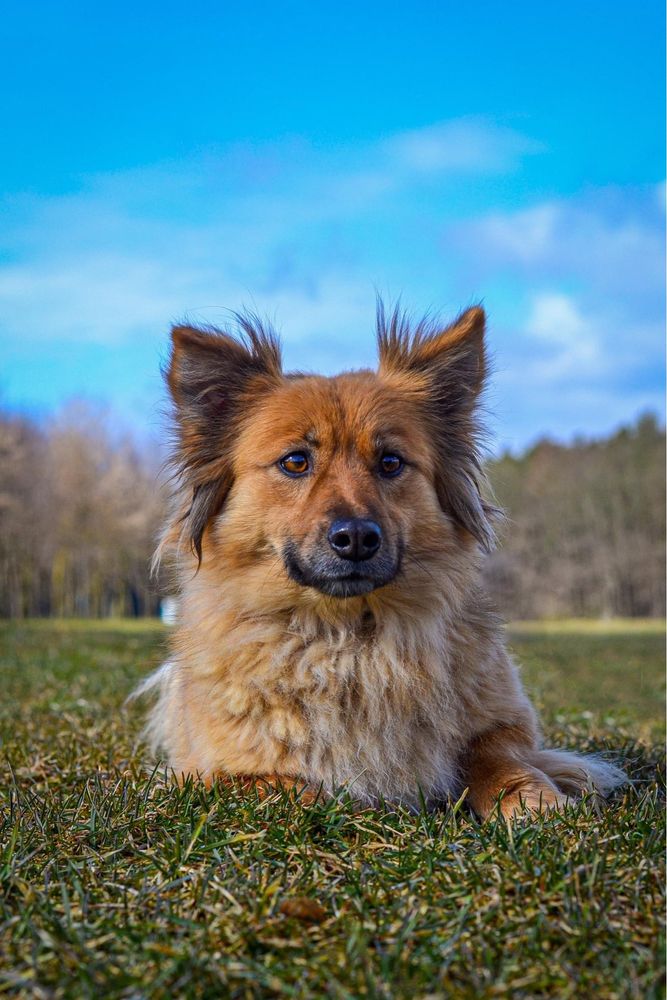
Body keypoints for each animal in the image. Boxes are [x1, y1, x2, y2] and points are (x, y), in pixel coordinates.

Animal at [138, 306, 628, 820]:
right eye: (295, 462)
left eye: (391, 462)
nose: (356, 538)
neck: (348, 639)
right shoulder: (210, 775)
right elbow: (290, 787)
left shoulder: (502, 724)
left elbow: (500, 760)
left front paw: (537, 801)